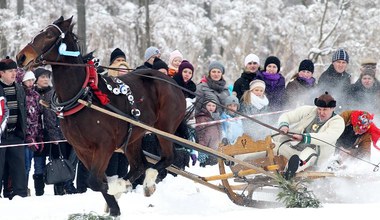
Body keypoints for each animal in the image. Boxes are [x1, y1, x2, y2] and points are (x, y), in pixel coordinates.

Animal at [16, 16, 186, 216]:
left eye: (49, 34)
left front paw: (115, 191)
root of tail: (171, 82)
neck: (83, 96)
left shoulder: (104, 146)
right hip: (134, 136)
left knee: (167, 157)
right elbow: (96, 180)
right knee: (139, 165)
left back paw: (148, 182)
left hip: (164, 128)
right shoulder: (82, 149)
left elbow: (95, 181)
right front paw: (114, 206)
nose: (21, 57)